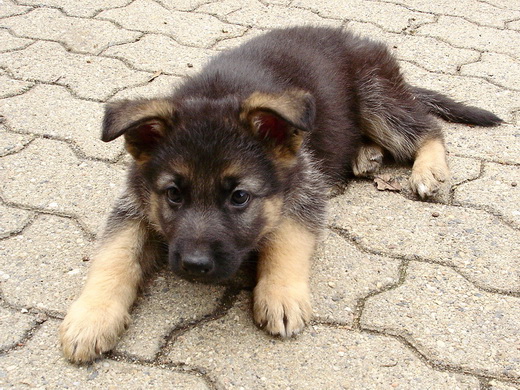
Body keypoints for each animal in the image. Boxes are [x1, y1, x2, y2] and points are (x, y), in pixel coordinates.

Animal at [59, 26, 502, 362]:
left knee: (426, 128)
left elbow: (287, 238)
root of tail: (354, 38)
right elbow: (113, 255)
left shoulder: (305, 188)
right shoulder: (134, 204)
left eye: (239, 197)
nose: (194, 266)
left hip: (376, 96)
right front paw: (91, 318)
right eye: (173, 195)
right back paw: (366, 154)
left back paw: (428, 169)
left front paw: (281, 294)